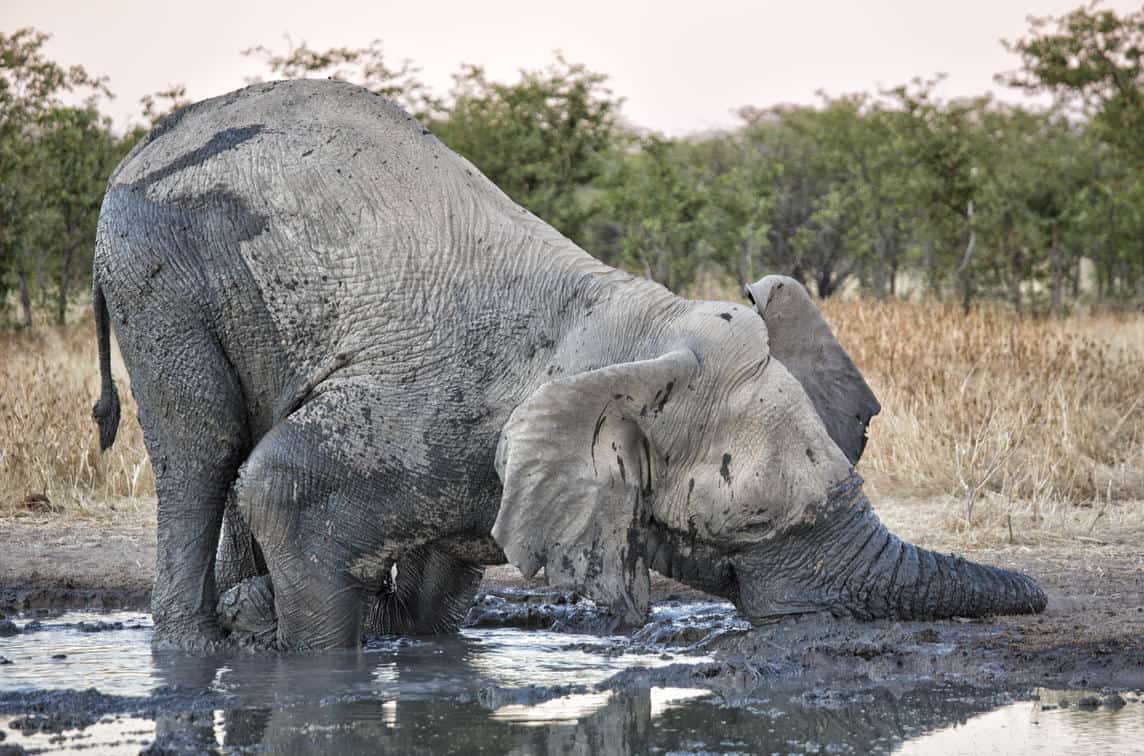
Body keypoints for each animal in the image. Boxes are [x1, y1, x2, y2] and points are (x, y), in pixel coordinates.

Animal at [91, 79, 1045, 651]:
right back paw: (198, 645)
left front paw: (398, 638)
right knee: (205, 445)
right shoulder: (421, 417)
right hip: (156, 269)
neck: (629, 327)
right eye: (741, 528)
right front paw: (304, 654)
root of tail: (140, 149)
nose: (1037, 593)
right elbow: (284, 490)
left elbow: (440, 589)